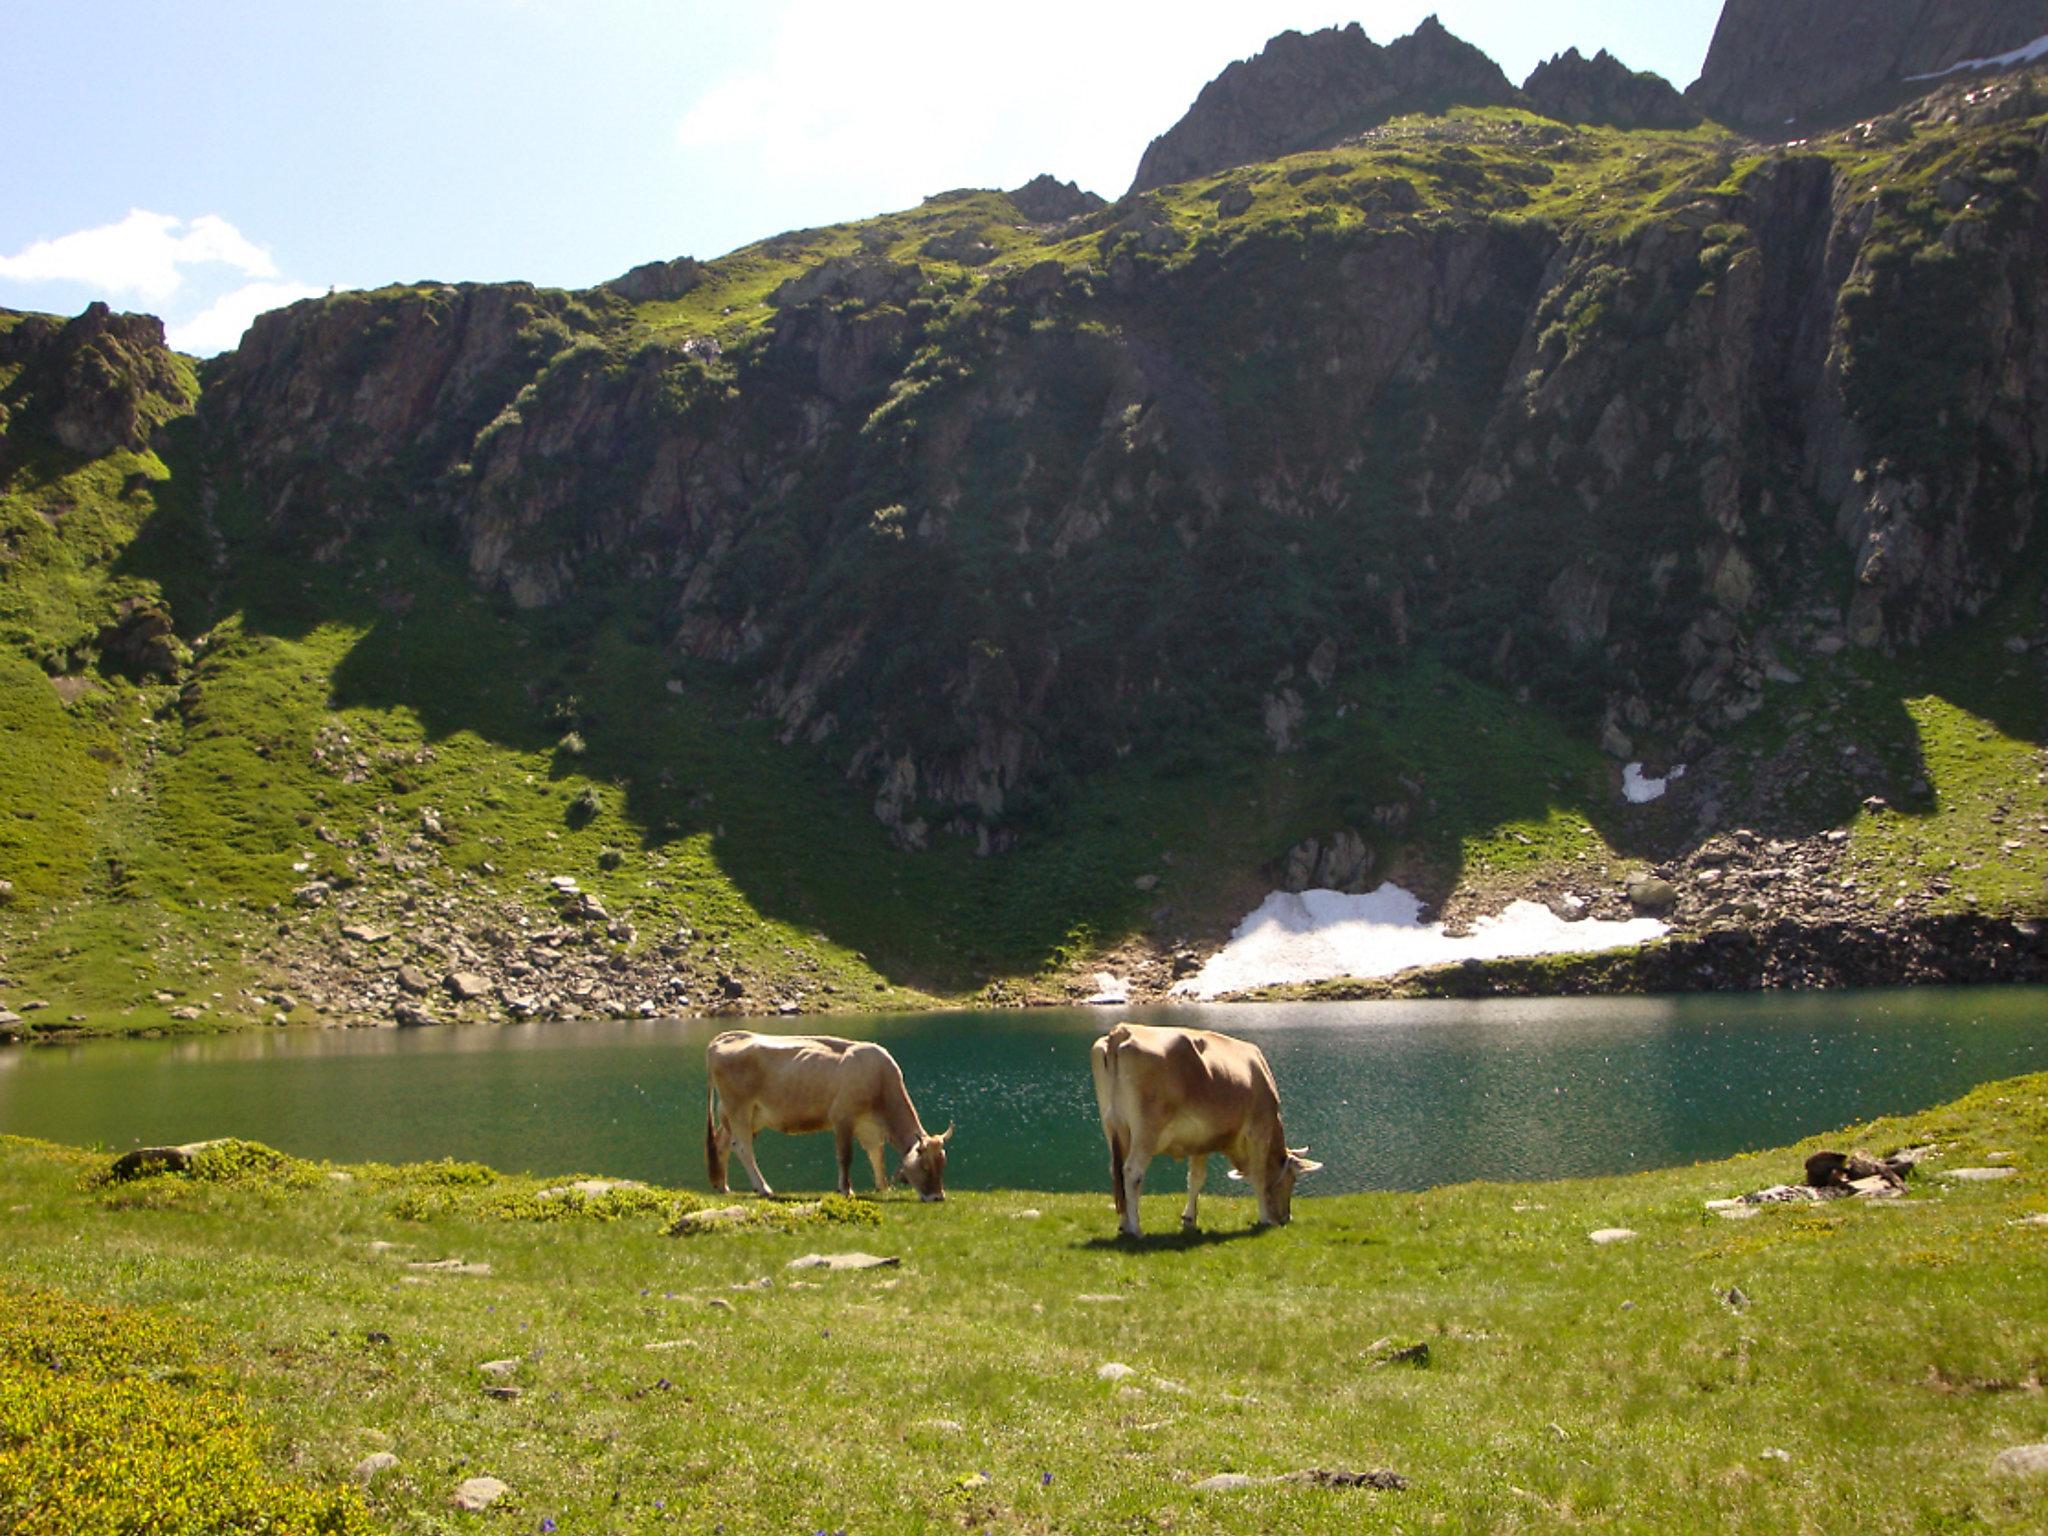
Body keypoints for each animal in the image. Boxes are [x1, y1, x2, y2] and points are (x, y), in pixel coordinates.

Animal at [704, 1036, 950, 1204]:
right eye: (925, 1166)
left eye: (942, 1164)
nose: (938, 1197)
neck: (880, 1080)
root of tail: (724, 1038)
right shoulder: (842, 1118)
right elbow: (845, 1156)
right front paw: (846, 1190)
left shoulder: (869, 1128)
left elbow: (876, 1155)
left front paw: (883, 1188)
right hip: (739, 1108)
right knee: (742, 1147)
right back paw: (764, 1188)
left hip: (742, 1114)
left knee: (723, 1144)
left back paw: (723, 1186)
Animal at [1097, 1024, 1318, 1236]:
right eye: (1292, 1179)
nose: (1285, 1217)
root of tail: (1123, 1030)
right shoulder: (1259, 1130)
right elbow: (1259, 1176)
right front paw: (1264, 1219)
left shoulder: (1200, 1140)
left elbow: (1195, 1178)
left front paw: (1189, 1220)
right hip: (1146, 1130)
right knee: (1132, 1172)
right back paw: (1135, 1229)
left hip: (1113, 1127)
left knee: (1116, 1171)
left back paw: (1124, 1224)